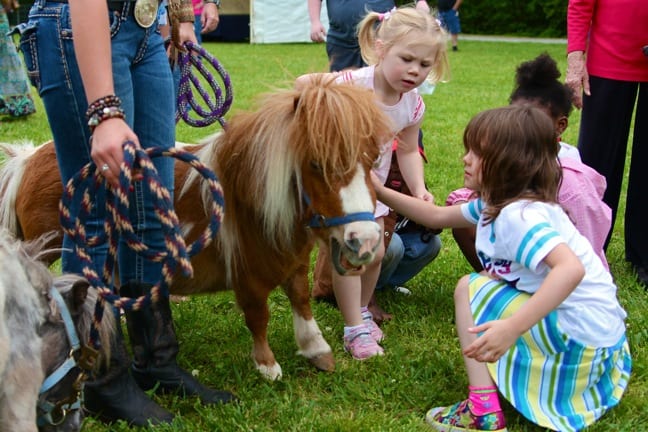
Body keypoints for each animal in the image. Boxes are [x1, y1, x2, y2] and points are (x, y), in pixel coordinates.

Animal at [0, 79, 392, 380]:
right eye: (315, 164)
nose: (365, 241)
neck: (250, 198)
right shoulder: (248, 277)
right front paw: (267, 366)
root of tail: (27, 160)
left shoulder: (294, 263)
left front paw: (316, 348)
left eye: (372, 159)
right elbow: (258, 316)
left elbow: (301, 299)